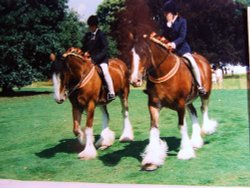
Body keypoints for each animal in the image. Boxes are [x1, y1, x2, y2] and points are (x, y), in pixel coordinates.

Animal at [130, 33, 218, 171]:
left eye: (144, 53)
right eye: (131, 53)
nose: (135, 81)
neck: (162, 74)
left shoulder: (180, 105)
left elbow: (181, 126)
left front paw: (186, 152)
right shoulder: (153, 105)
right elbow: (154, 128)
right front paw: (151, 160)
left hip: (205, 94)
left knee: (203, 109)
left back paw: (207, 129)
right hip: (189, 101)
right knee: (193, 112)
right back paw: (196, 141)